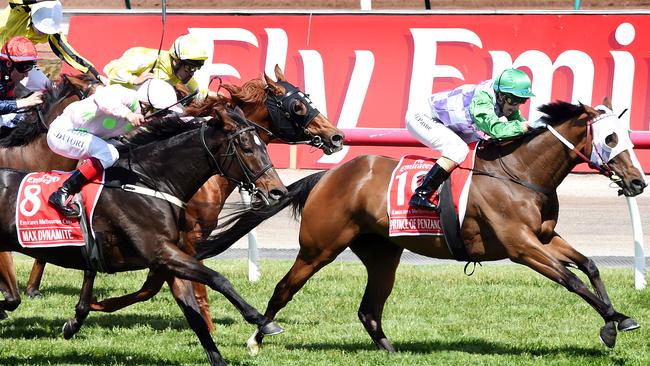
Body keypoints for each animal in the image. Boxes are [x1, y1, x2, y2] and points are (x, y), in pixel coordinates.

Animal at [0, 103, 286, 366]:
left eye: (264, 145)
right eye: (246, 148)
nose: (277, 191)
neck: (149, 182)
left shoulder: (170, 259)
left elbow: (194, 316)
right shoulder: (161, 252)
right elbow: (219, 279)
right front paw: (263, 322)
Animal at [21, 65, 344, 332]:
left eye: (307, 98)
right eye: (298, 106)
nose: (336, 136)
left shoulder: (174, 239)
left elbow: (154, 284)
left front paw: (91, 307)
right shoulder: (184, 236)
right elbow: (176, 284)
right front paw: (209, 326)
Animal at [195, 101, 644, 354]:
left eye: (627, 137)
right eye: (609, 138)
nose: (639, 182)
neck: (520, 172)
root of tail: (330, 176)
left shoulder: (545, 237)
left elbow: (589, 266)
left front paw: (615, 323)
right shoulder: (521, 246)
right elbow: (573, 280)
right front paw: (616, 320)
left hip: (382, 253)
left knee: (369, 309)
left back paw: (391, 351)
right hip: (318, 247)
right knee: (285, 288)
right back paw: (257, 337)